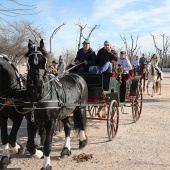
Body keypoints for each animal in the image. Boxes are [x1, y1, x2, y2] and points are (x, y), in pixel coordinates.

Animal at [24, 39, 88, 169]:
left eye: (44, 60)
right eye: (29, 60)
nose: (37, 83)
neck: (38, 97)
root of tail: (78, 77)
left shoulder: (51, 121)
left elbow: (48, 144)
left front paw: (46, 165)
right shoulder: (31, 121)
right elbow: (30, 145)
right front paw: (39, 153)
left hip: (81, 107)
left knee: (82, 122)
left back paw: (82, 142)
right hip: (64, 113)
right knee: (68, 127)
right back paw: (66, 150)